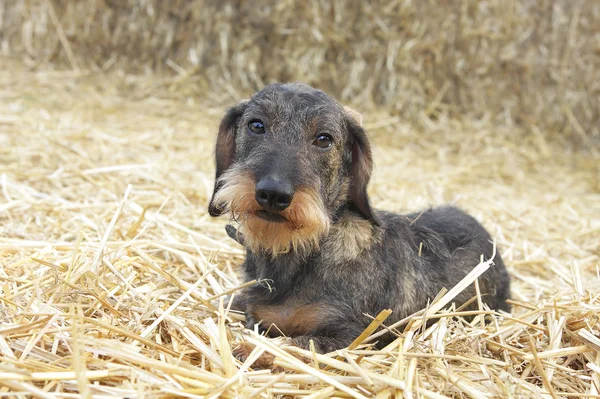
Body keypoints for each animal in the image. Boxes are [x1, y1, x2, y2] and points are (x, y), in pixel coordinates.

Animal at [207, 83, 510, 358]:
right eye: (256, 125)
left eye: (324, 139)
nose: (273, 193)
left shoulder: (352, 335)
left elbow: (293, 345)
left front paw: (250, 349)